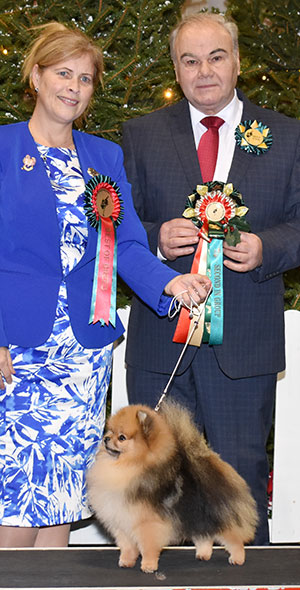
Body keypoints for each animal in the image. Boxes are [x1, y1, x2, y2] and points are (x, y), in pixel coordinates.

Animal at [86, 402, 258, 572]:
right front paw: (126, 561)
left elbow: (148, 547)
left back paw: (237, 558)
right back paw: (203, 554)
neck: (130, 465)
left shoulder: (148, 524)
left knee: (235, 539)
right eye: (110, 431)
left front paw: (148, 566)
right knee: (204, 536)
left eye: (121, 437)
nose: (106, 439)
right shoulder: (122, 521)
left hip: (220, 517)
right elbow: (127, 547)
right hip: (197, 516)